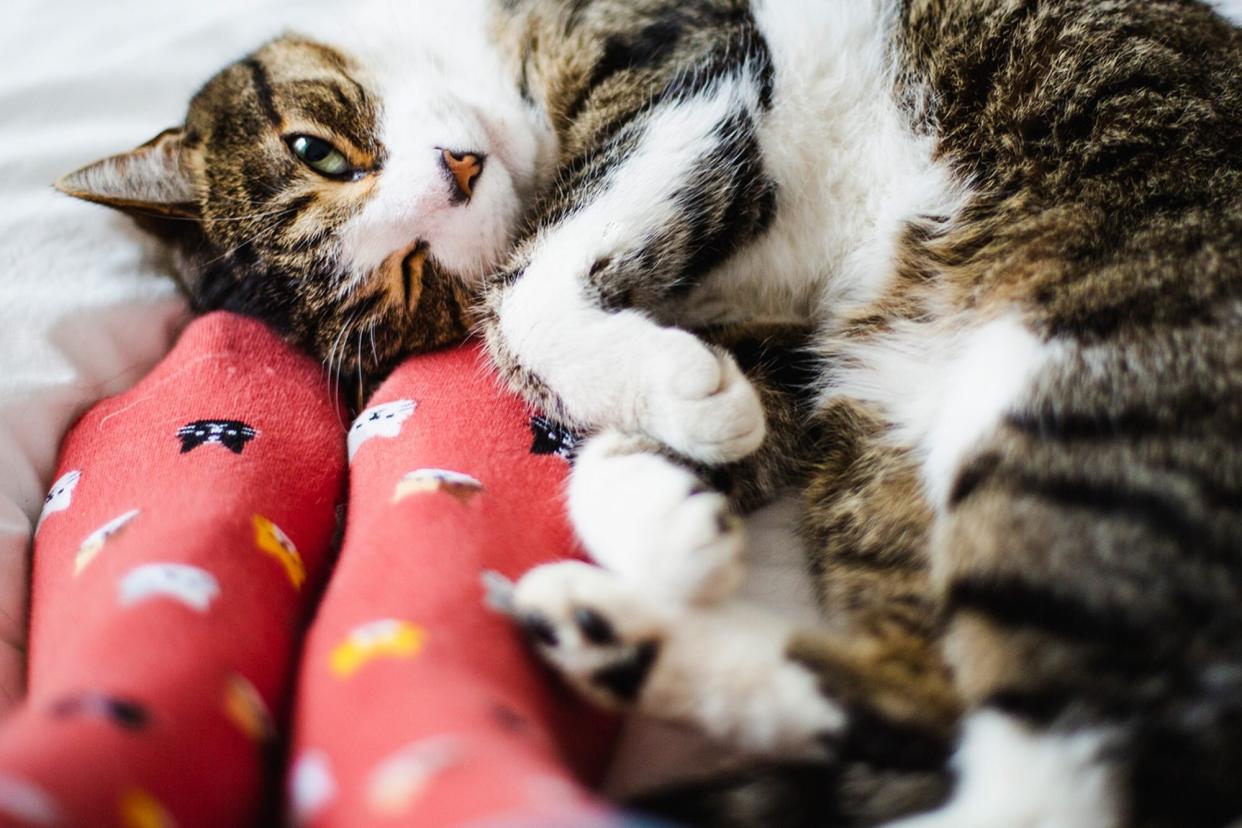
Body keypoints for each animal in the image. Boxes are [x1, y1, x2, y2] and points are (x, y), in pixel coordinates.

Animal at [55, 0, 1242, 824]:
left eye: (318, 149)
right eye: (407, 276)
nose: (457, 171)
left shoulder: (687, 68)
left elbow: (533, 285)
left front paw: (664, 417)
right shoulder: (801, 336)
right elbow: (683, 383)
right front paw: (660, 492)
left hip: (1086, 376)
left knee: (1048, 782)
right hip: (881, 426)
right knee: (934, 698)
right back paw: (610, 631)